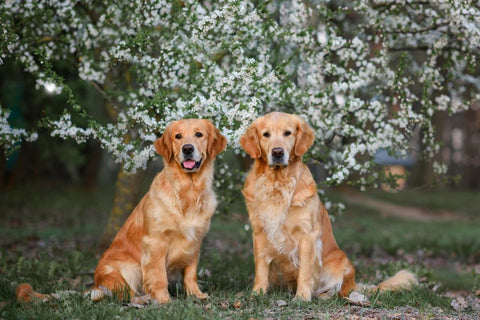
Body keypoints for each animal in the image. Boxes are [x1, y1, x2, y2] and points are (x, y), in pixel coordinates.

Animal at [240, 112, 416, 300]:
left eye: (287, 133)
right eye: (266, 134)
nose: (278, 152)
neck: (277, 183)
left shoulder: (307, 235)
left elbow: (305, 271)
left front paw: (302, 297)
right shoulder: (259, 232)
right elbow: (261, 268)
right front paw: (257, 293)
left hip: (341, 261)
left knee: (341, 290)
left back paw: (325, 295)